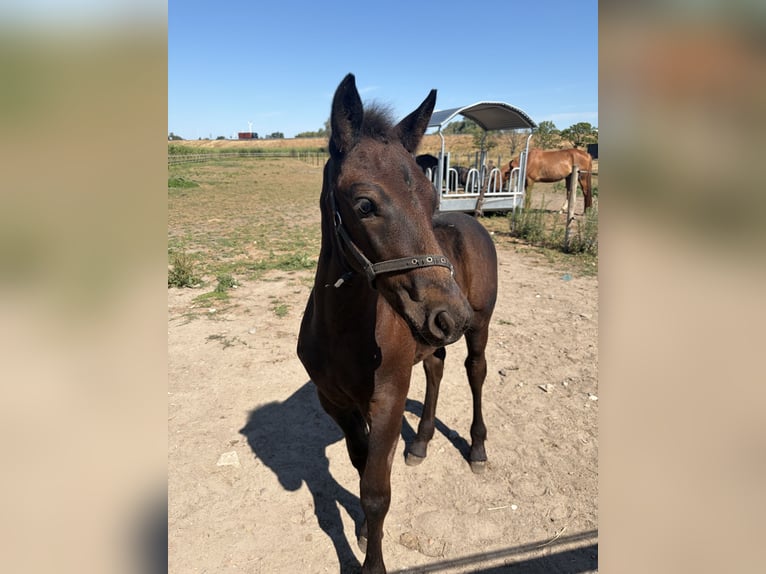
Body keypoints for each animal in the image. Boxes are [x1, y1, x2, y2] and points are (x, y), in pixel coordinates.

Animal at [297, 74, 498, 574]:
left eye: (430, 197)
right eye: (365, 204)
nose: (451, 314)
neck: (343, 332)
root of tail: (473, 220)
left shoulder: (386, 399)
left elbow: (376, 491)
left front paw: (372, 558)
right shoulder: (336, 403)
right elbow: (360, 465)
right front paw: (363, 531)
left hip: (481, 329)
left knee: (476, 372)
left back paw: (478, 449)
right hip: (430, 342)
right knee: (436, 367)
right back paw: (420, 442)